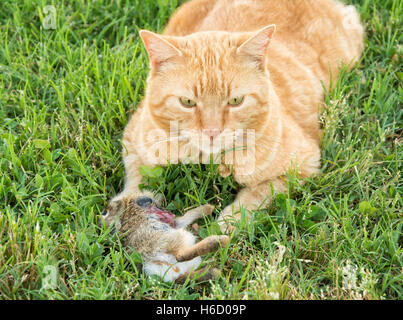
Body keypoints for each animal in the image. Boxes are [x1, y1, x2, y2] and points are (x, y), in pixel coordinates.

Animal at [98, 190, 230, 282]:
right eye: (104, 212)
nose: (146, 199)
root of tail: (153, 263)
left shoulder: (175, 223)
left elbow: (187, 216)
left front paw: (208, 208)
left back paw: (214, 271)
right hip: (172, 239)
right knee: (181, 255)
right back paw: (220, 241)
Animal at [109, 0, 362, 235]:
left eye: (235, 101)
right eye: (188, 102)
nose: (212, 131)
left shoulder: (303, 164)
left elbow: (257, 195)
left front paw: (227, 223)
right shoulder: (134, 139)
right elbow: (136, 181)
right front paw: (126, 211)